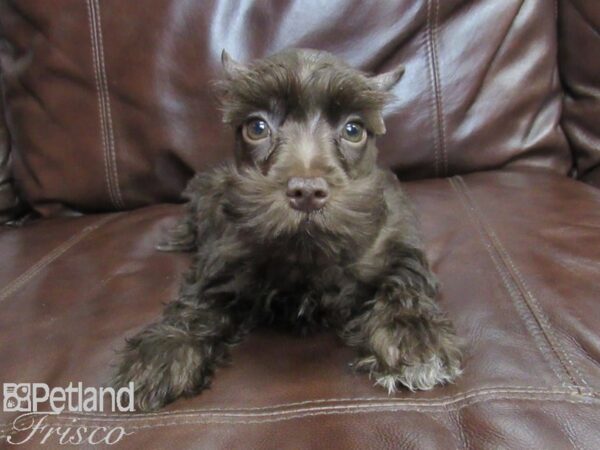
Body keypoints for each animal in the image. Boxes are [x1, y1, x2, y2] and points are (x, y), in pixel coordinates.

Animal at [112, 48, 462, 412]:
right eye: (256, 127)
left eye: (354, 130)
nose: (306, 192)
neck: (306, 252)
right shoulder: (225, 257)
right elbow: (198, 301)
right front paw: (162, 352)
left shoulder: (397, 242)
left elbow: (403, 283)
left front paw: (413, 340)